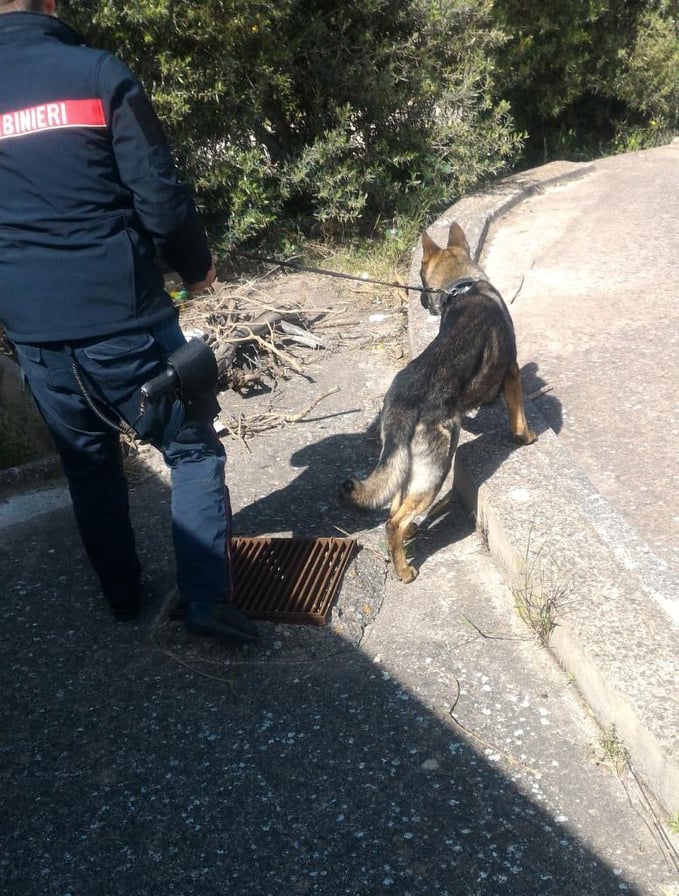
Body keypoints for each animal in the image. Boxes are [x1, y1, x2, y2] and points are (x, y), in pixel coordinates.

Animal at [340, 221, 536, 583]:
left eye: (420, 277)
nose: (418, 300)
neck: (463, 286)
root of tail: (402, 405)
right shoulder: (512, 371)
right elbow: (519, 416)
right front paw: (527, 437)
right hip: (437, 467)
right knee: (393, 520)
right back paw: (404, 569)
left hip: (406, 465)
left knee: (395, 505)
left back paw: (407, 539)